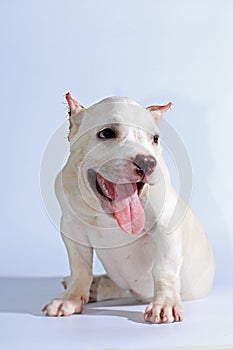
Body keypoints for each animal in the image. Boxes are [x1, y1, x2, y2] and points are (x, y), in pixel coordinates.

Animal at [42, 92, 215, 322]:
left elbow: (164, 268)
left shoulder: (166, 227)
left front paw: (165, 304)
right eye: (107, 133)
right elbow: (80, 267)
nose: (147, 162)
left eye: (155, 138)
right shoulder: (72, 229)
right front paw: (70, 299)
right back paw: (93, 287)